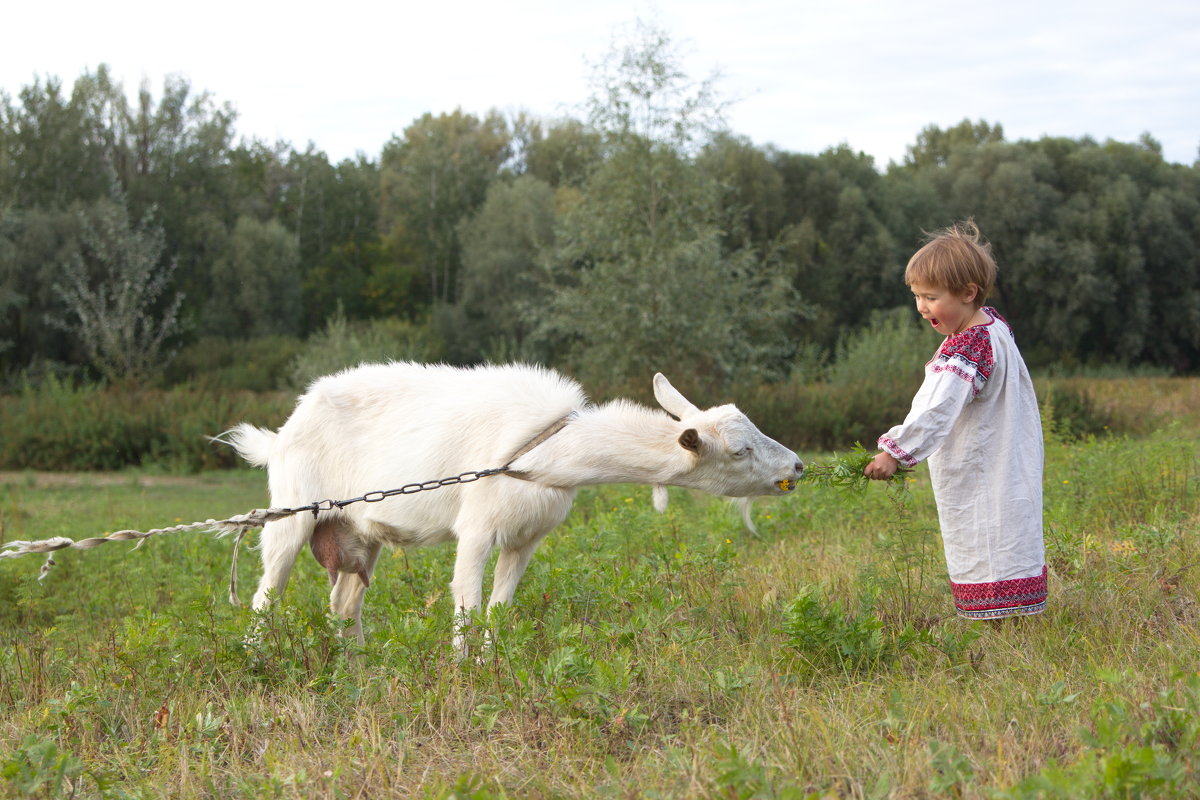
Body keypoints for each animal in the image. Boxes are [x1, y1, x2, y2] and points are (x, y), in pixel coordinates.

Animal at [223, 362, 806, 652]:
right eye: (739, 451)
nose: (798, 466)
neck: (546, 453)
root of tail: (281, 434)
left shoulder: (525, 539)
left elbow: (500, 610)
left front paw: (490, 665)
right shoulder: (476, 529)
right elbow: (466, 606)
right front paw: (462, 674)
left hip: (358, 532)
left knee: (344, 605)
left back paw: (360, 671)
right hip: (291, 514)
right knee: (265, 597)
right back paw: (257, 663)